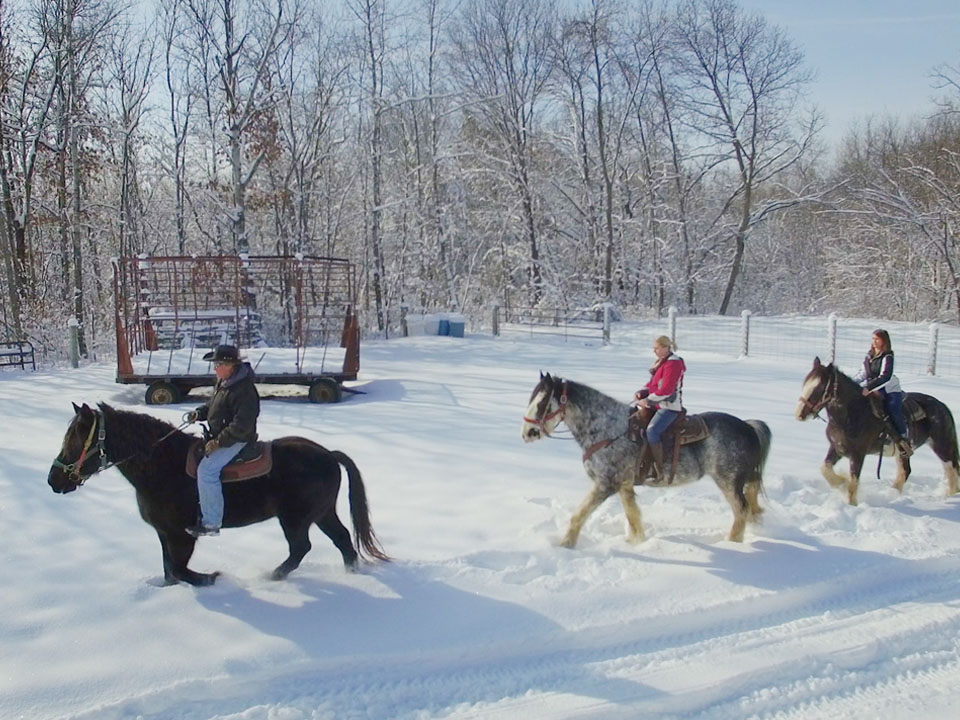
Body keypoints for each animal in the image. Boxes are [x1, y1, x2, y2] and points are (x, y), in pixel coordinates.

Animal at [47, 402, 388, 588]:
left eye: (76, 440)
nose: (53, 480)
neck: (162, 464)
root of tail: (328, 454)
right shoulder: (164, 533)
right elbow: (170, 571)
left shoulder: (182, 535)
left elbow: (180, 569)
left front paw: (211, 577)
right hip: (322, 513)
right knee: (343, 540)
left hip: (296, 519)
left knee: (301, 548)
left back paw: (271, 577)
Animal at [796, 356, 960, 504]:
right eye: (805, 383)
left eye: (819, 388)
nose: (799, 414)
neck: (853, 413)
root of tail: (942, 406)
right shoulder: (837, 448)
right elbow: (825, 469)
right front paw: (842, 483)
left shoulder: (858, 454)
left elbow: (853, 482)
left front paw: (851, 503)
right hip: (903, 453)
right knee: (905, 472)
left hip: (943, 446)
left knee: (952, 470)